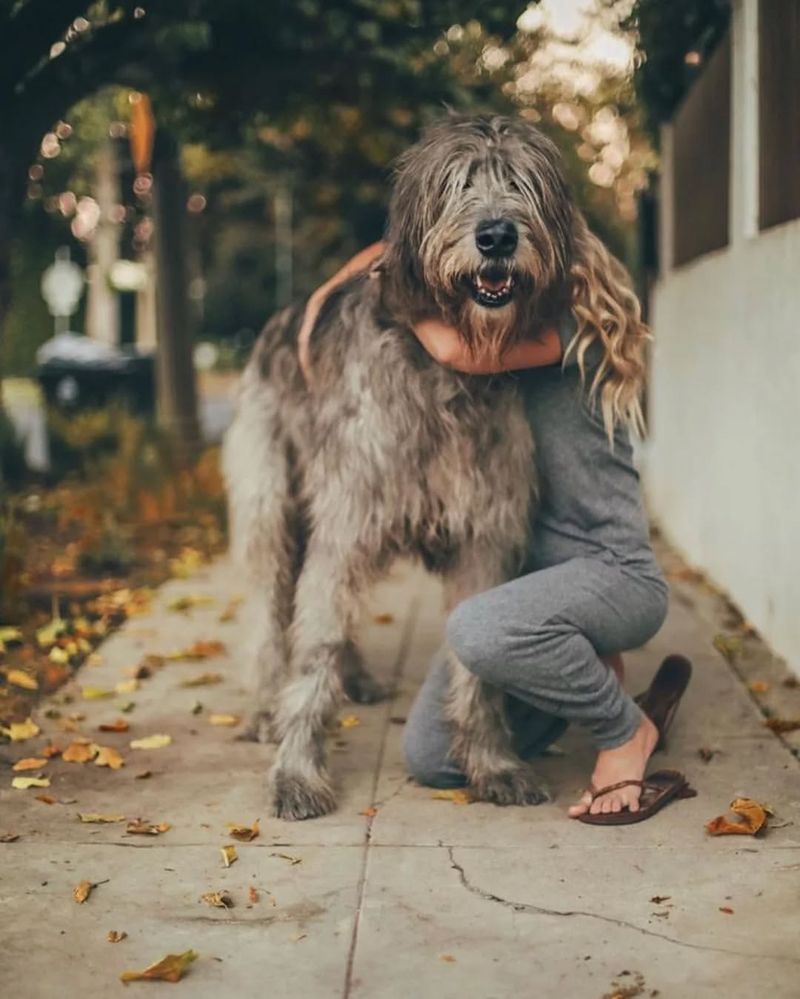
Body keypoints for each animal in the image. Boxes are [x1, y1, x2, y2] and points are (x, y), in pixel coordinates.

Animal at [223, 117, 644, 820]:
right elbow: (314, 649)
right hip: (271, 502)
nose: (496, 235)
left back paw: (359, 678)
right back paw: (261, 704)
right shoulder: (349, 517)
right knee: (270, 604)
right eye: (456, 183)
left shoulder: (484, 536)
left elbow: (475, 664)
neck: (445, 372)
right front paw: (298, 771)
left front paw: (493, 762)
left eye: (522, 183)